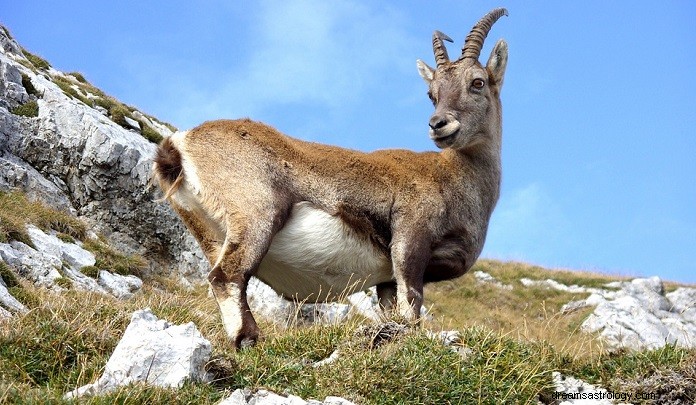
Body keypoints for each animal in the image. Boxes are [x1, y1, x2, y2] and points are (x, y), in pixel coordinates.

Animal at [153, 8, 508, 349]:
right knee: (227, 276)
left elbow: (392, 310)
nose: (438, 124)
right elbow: (411, 305)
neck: (456, 178)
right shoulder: (410, 238)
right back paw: (249, 341)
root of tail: (180, 144)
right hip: (257, 212)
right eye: (431, 93)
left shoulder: (386, 278)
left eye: (477, 82)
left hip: (208, 232)